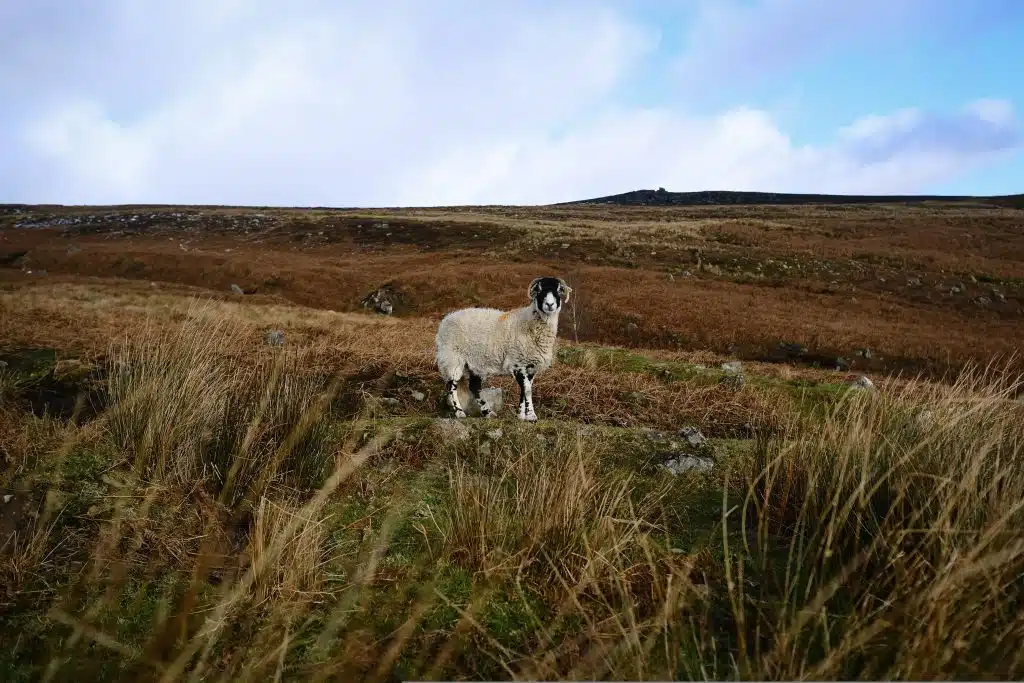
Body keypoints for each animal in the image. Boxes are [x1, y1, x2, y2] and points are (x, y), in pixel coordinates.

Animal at [434, 278, 573, 421]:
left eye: (558, 290)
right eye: (539, 290)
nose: (550, 304)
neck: (529, 323)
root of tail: (445, 320)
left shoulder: (530, 366)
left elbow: (524, 390)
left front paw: (521, 415)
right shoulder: (517, 363)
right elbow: (527, 390)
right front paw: (531, 416)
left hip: (474, 363)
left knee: (474, 387)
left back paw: (487, 412)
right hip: (452, 358)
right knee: (451, 386)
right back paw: (459, 412)